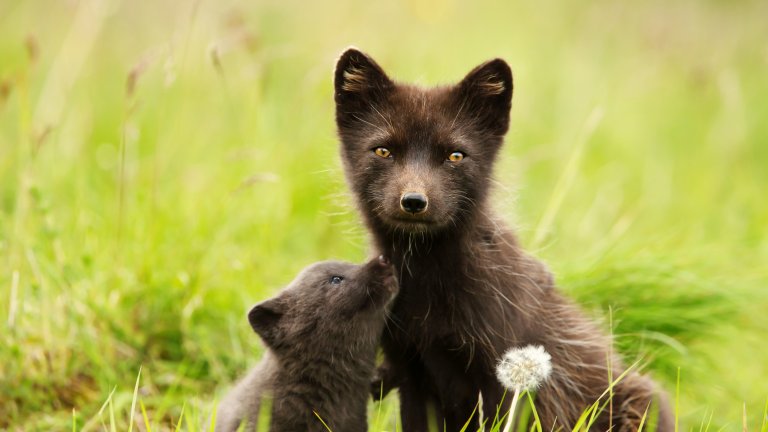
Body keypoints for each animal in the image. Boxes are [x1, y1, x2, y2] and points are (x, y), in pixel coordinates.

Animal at [332, 49, 668, 430]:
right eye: (383, 151)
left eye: (455, 156)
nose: (414, 201)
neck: (427, 281)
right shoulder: (410, 369)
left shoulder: (505, 373)